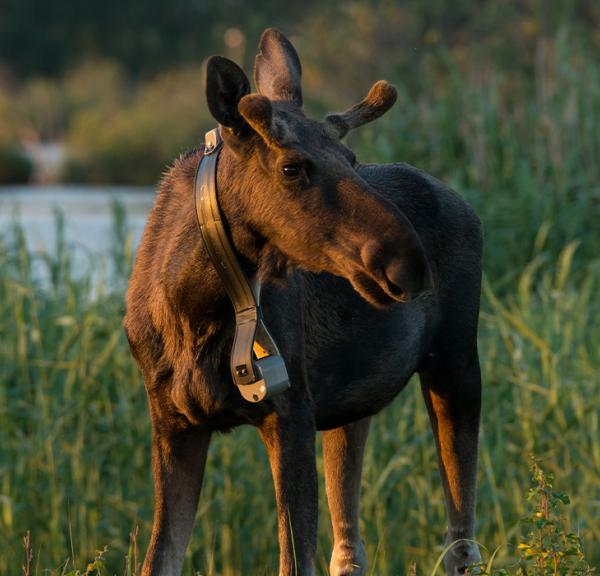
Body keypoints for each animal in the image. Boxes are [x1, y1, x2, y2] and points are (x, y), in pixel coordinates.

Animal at [124, 28, 486, 576]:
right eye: (292, 167)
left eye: (353, 162)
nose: (409, 263)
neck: (192, 310)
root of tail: (465, 203)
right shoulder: (172, 421)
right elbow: (159, 559)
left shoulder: (290, 413)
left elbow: (293, 559)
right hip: (352, 405)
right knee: (350, 542)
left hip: (456, 360)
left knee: (460, 535)